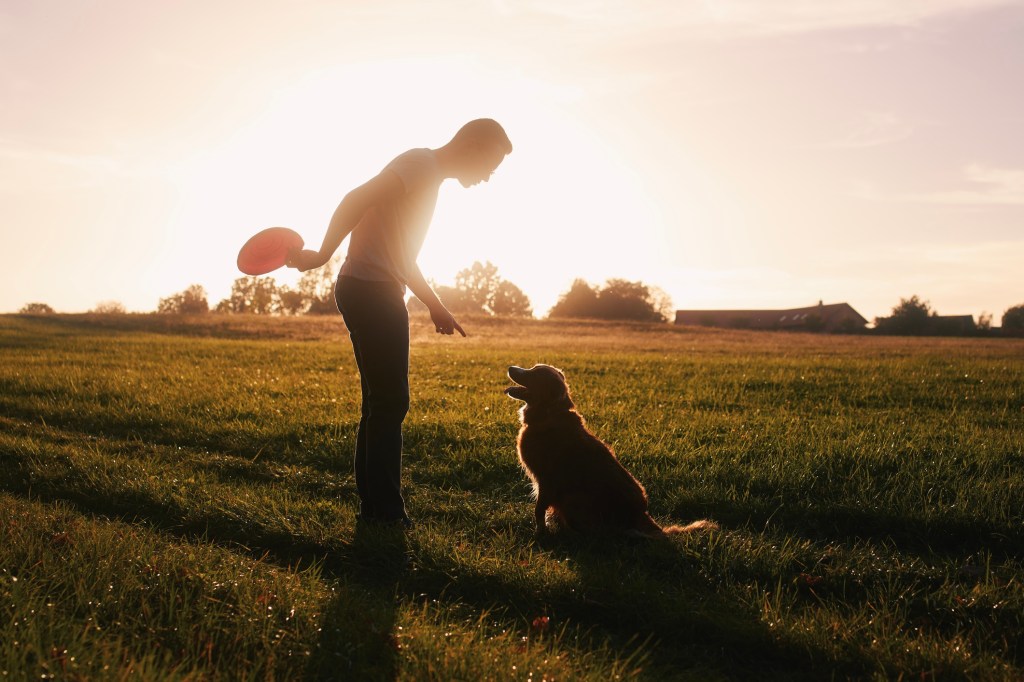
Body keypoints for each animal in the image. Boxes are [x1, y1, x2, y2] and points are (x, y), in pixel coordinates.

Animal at [501, 364, 712, 532]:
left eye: (533, 374)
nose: (511, 368)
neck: (548, 414)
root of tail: (641, 515)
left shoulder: (546, 480)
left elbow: (539, 510)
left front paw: (541, 533)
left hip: (575, 498)